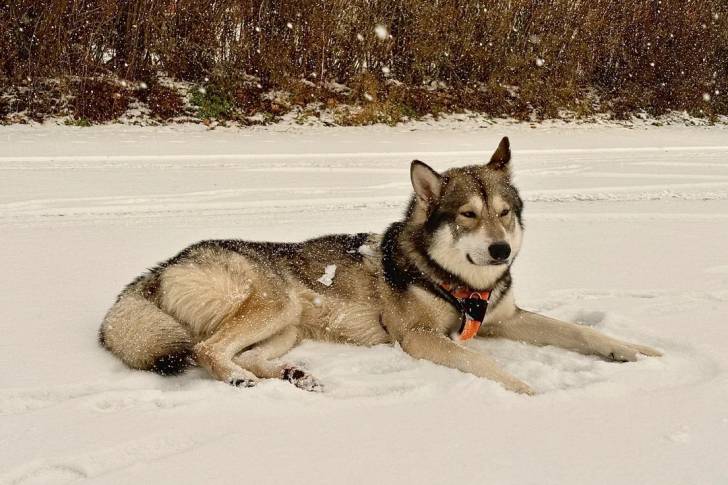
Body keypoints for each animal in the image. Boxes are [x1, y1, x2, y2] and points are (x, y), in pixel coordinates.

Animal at [99, 137, 661, 394]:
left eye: (504, 213)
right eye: (468, 216)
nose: (500, 251)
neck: (459, 284)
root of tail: (159, 267)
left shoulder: (507, 318)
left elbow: (581, 332)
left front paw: (637, 351)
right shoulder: (420, 338)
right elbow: (484, 363)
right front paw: (526, 389)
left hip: (287, 327)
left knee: (249, 354)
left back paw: (293, 375)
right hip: (274, 304)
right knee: (206, 349)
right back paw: (241, 381)